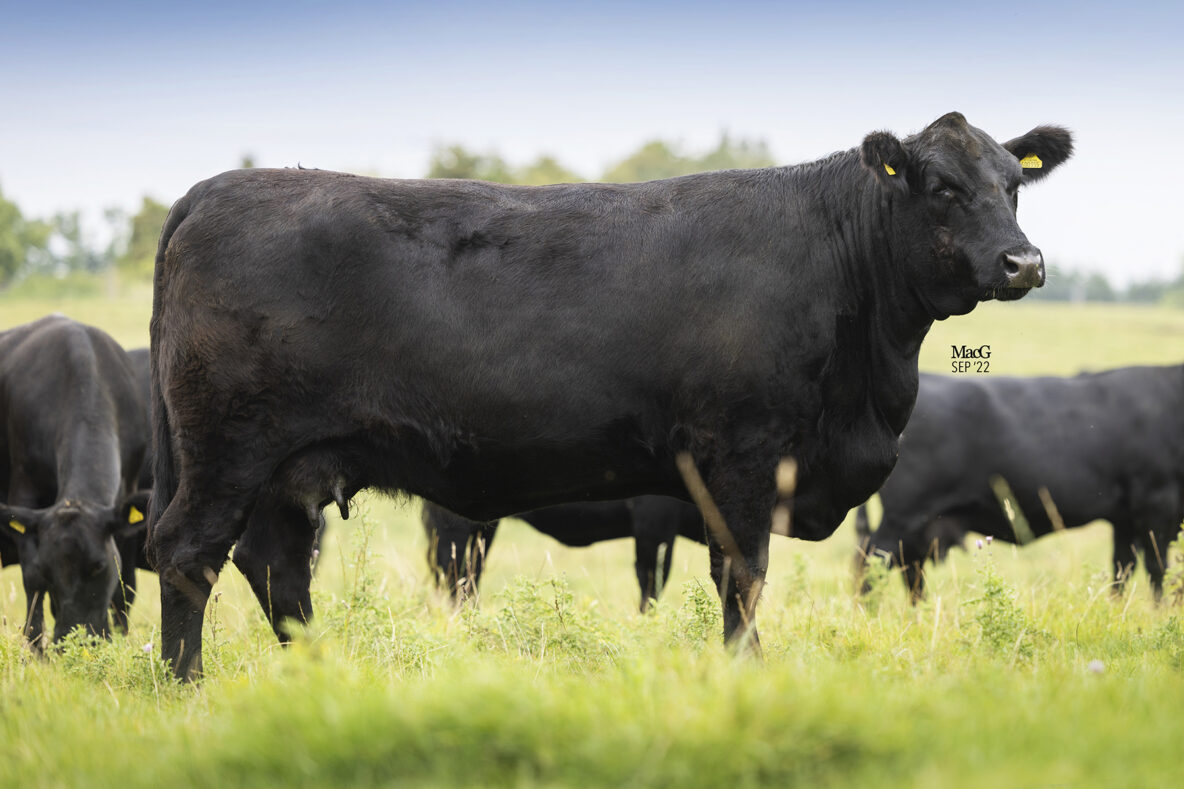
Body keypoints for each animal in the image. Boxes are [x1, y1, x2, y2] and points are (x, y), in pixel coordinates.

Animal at [1, 316, 152, 645]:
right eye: (49, 570)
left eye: (98, 566)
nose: (79, 638)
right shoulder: (25, 496)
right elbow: (32, 588)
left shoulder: (127, 496)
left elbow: (124, 588)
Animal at [422, 496, 706, 611]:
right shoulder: (655, 521)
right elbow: (651, 584)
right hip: (453, 525)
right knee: (454, 575)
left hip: (483, 529)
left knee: (470, 575)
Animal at [855, 368, 1184, 602]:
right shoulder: (1157, 503)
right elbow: (1158, 567)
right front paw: (1158, 612)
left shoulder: (1125, 517)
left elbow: (1122, 567)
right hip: (906, 515)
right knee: (873, 561)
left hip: (919, 525)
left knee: (906, 566)